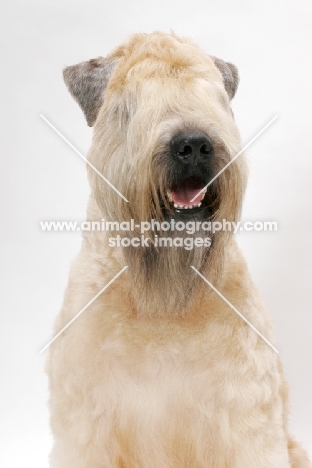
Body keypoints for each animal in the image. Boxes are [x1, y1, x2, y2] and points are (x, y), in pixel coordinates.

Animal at [47, 31, 312, 466]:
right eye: (133, 103)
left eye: (212, 96)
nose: (194, 145)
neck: (162, 302)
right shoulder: (86, 424)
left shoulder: (245, 419)